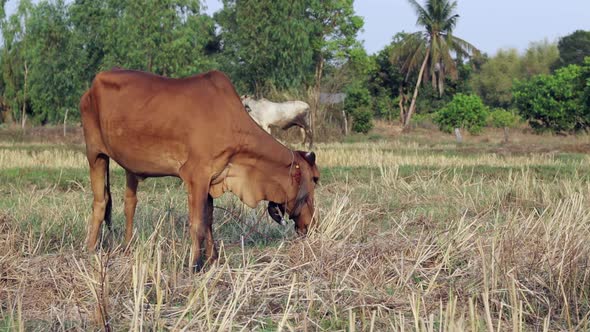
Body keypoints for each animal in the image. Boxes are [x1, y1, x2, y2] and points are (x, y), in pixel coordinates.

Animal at [79, 68, 322, 272]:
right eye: (315, 179)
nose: (312, 226)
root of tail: (93, 85)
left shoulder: (212, 180)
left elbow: (208, 221)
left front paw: (212, 259)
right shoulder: (196, 177)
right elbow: (197, 224)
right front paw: (194, 265)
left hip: (130, 167)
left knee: (130, 202)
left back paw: (128, 247)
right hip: (95, 154)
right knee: (100, 202)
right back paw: (90, 249)